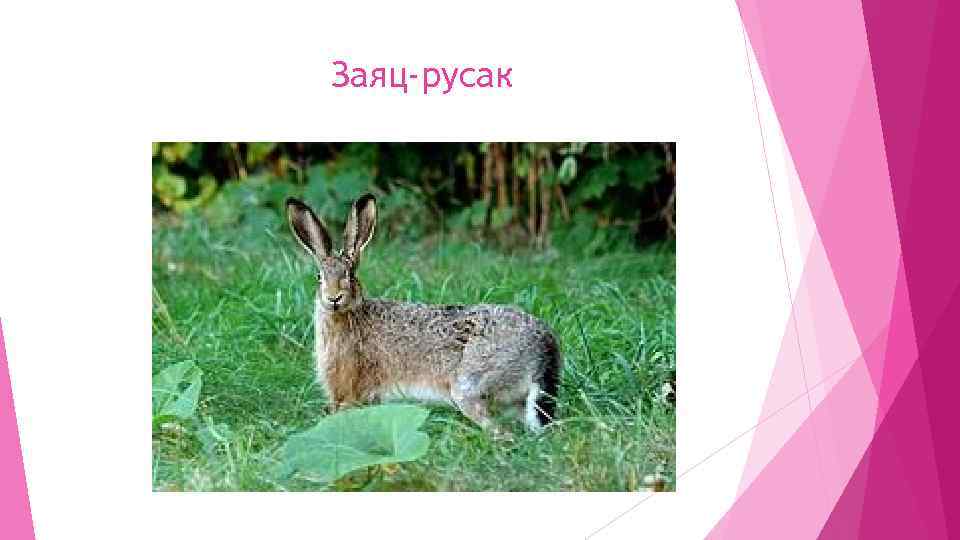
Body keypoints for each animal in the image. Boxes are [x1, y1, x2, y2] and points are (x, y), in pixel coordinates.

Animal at [285, 194, 562, 437]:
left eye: (351, 276)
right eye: (319, 278)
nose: (333, 298)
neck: (349, 315)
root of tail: (544, 349)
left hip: (469, 387)